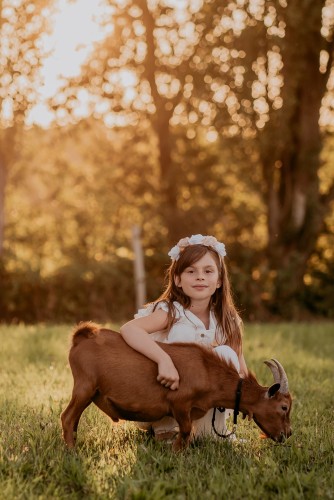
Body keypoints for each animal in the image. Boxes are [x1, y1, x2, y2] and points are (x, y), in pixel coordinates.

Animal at [61, 322, 290, 452]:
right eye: (284, 407)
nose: (287, 434)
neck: (206, 370)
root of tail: (81, 338)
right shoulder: (179, 403)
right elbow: (186, 430)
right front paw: (175, 453)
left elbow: (188, 433)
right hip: (84, 387)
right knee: (67, 417)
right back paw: (71, 452)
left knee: (74, 419)